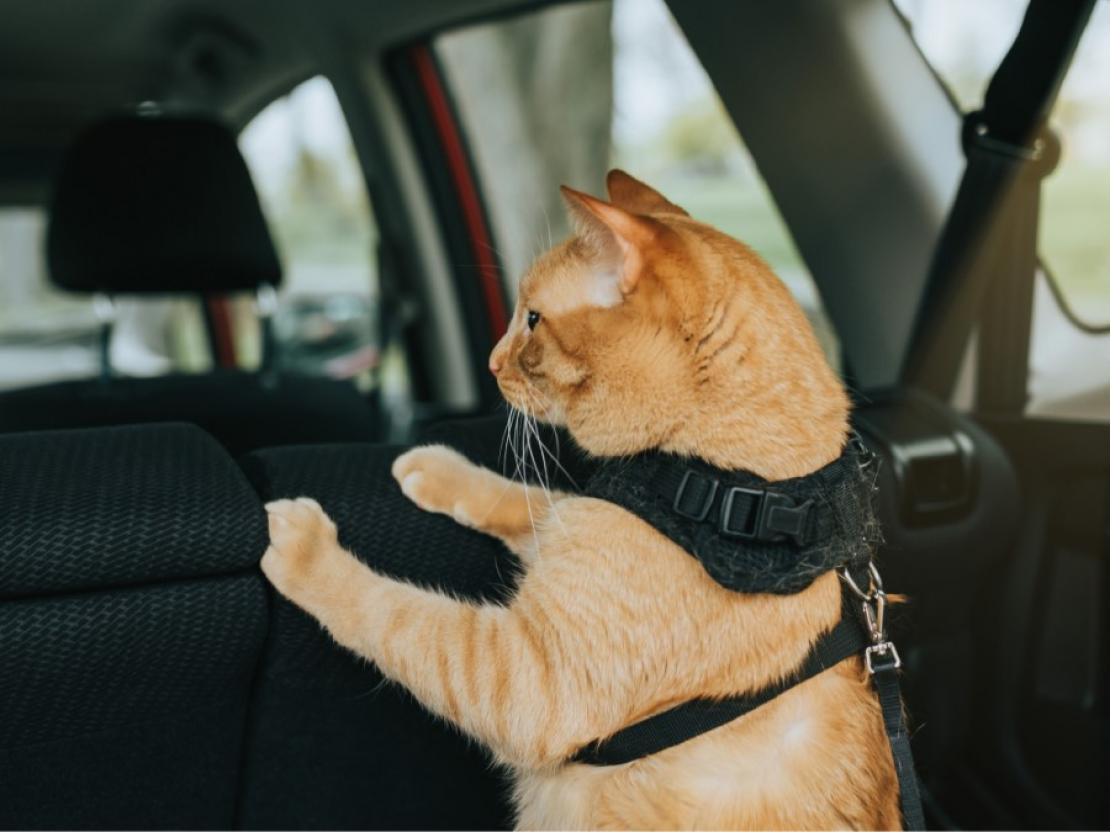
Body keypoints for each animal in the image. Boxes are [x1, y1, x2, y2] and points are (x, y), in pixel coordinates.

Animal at [259, 170, 901, 832]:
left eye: (533, 319)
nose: (490, 362)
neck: (729, 489)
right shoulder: (579, 518)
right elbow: (527, 498)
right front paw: (435, 467)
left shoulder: (523, 679)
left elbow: (394, 613)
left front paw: (307, 551)